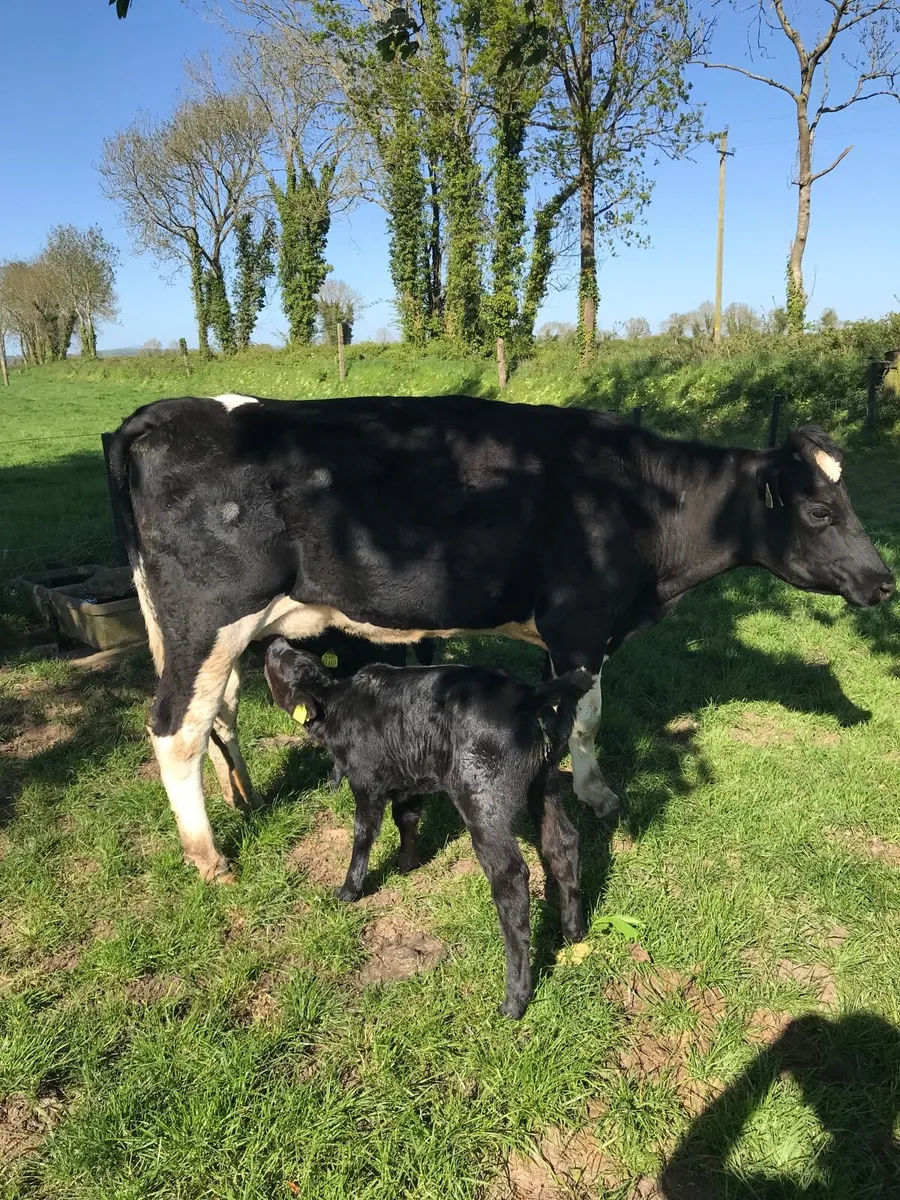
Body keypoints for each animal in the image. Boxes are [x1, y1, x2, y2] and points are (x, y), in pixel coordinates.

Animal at [108, 393, 894, 882]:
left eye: (851, 501)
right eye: (820, 512)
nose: (884, 581)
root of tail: (159, 415)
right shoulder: (579, 625)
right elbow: (587, 718)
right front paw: (598, 795)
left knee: (220, 711)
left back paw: (241, 797)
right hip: (209, 615)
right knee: (174, 727)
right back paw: (210, 857)